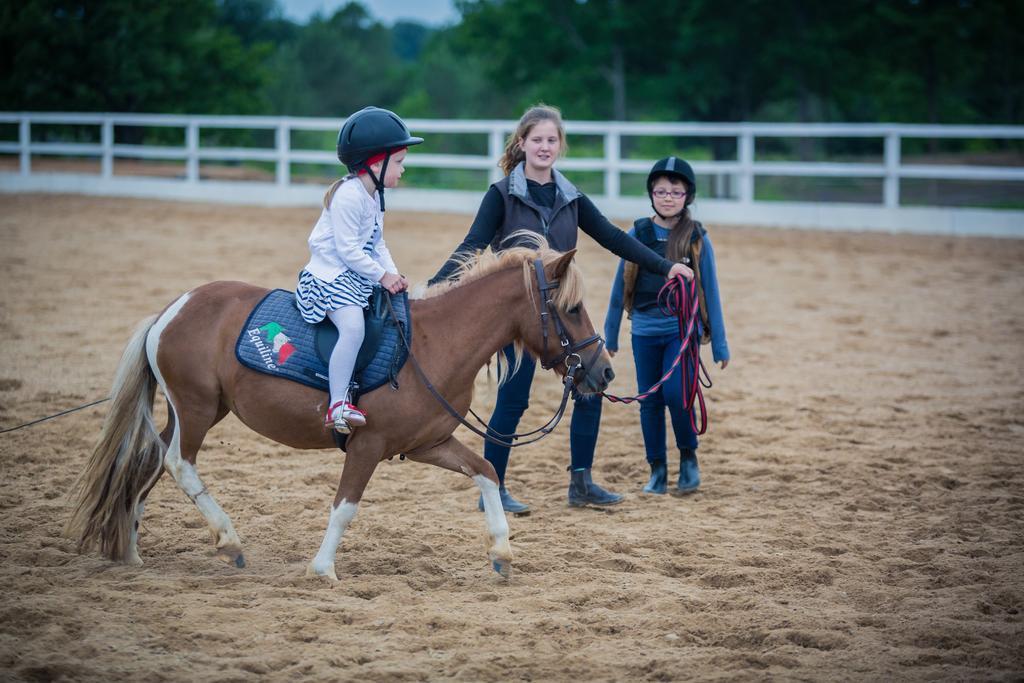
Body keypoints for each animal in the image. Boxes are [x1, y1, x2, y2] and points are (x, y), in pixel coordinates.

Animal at [68, 242, 610, 581]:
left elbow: (485, 472)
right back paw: (229, 541)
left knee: (148, 464)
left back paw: (132, 551)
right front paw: (323, 568)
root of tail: (170, 311)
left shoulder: (428, 444)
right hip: (197, 409)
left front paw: (501, 551)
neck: (433, 344)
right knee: (178, 464)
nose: (603, 373)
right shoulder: (367, 445)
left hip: (194, 412)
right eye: (573, 308)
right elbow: (345, 506)